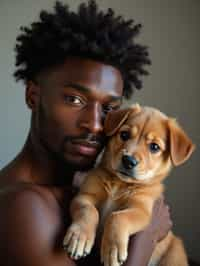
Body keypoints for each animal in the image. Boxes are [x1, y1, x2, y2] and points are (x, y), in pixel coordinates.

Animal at [63, 104, 195, 266]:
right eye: (124, 135)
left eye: (154, 147)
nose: (128, 161)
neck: (120, 183)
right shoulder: (85, 195)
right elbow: (88, 210)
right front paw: (79, 237)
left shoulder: (141, 210)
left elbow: (118, 216)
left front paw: (112, 250)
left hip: (174, 255)